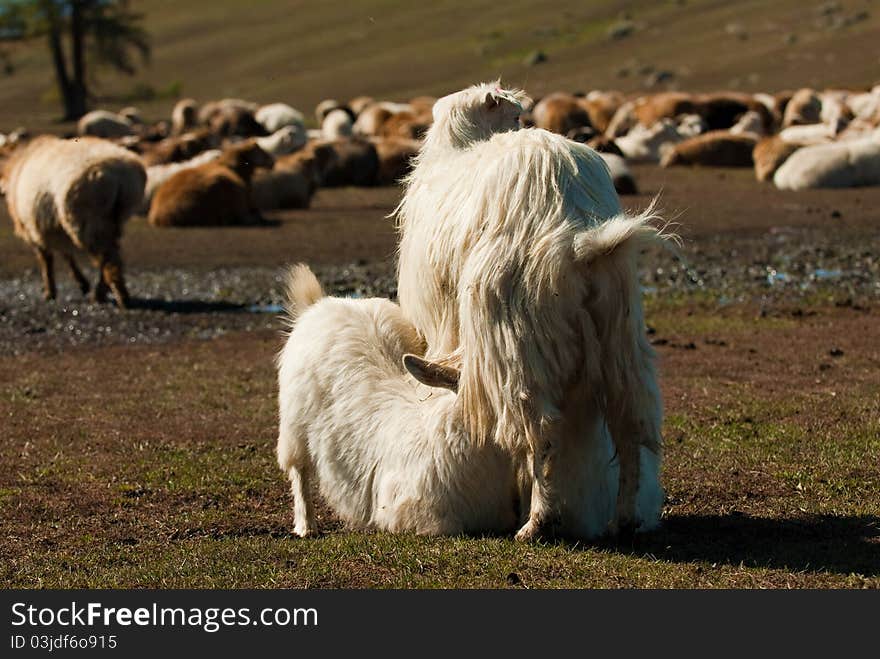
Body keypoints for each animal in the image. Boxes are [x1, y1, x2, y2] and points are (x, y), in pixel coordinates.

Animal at [0, 136, 144, 310]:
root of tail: (118, 175)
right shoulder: (55, 227)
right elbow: (66, 254)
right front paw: (82, 283)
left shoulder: (34, 230)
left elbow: (46, 260)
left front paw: (50, 293)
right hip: (114, 218)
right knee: (111, 253)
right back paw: (105, 292)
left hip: (89, 218)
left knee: (108, 258)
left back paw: (115, 297)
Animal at [396, 82, 664, 544]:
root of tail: (576, 227)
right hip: (621, 330)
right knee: (631, 422)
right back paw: (624, 519)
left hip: (516, 336)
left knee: (540, 432)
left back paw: (537, 522)